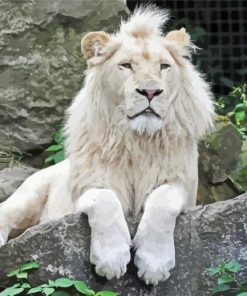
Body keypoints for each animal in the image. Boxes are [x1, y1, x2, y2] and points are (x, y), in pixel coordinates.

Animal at [0, 6, 213, 284]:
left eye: (164, 66)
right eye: (126, 66)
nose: (151, 92)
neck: (137, 140)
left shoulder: (184, 187)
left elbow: (162, 202)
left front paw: (154, 263)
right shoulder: (87, 184)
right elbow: (104, 200)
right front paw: (111, 259)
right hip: (28, 195)